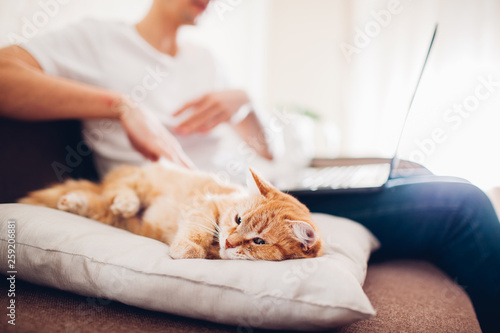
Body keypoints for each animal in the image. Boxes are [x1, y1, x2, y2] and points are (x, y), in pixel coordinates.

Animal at [18, 161, 324, 260]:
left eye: (259, 241)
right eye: (238, 219)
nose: (228, 241)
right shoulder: (204, 204)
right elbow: (197, 228)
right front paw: (189, 247)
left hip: (112, 217)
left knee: (99, 203)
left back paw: (70, 202)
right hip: (138, 181)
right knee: (116, 191)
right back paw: (125, 202)